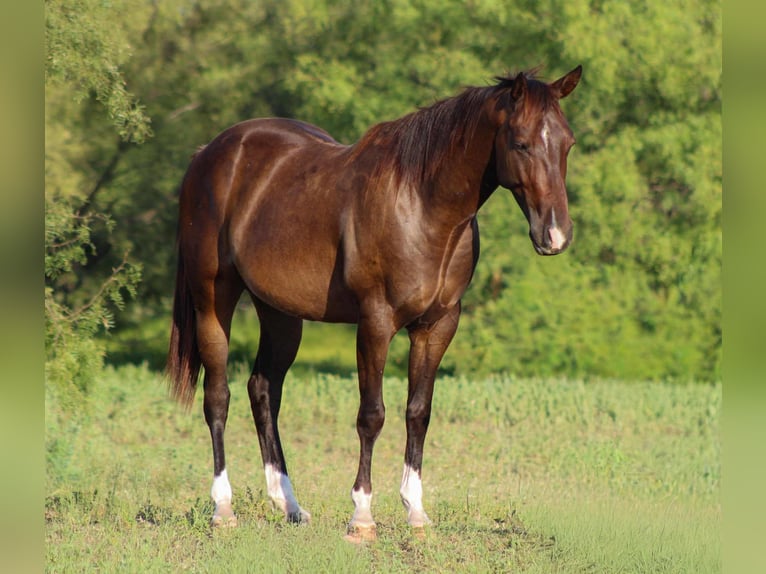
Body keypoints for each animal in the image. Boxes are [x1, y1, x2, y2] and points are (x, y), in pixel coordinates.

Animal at [166, 65, 582, 541]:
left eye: (567, 143)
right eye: (521, 143)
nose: (555, 234)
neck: (421, 205)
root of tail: (208, 154)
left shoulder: (437, 326)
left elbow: (418, 412)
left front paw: (416, 512)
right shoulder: (375, 322)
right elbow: (372, 415)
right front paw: (362, 516)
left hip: (281, 313)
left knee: (263, 390)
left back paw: (289, 505)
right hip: (212, 300)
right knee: (218, 397)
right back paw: (223, 508)